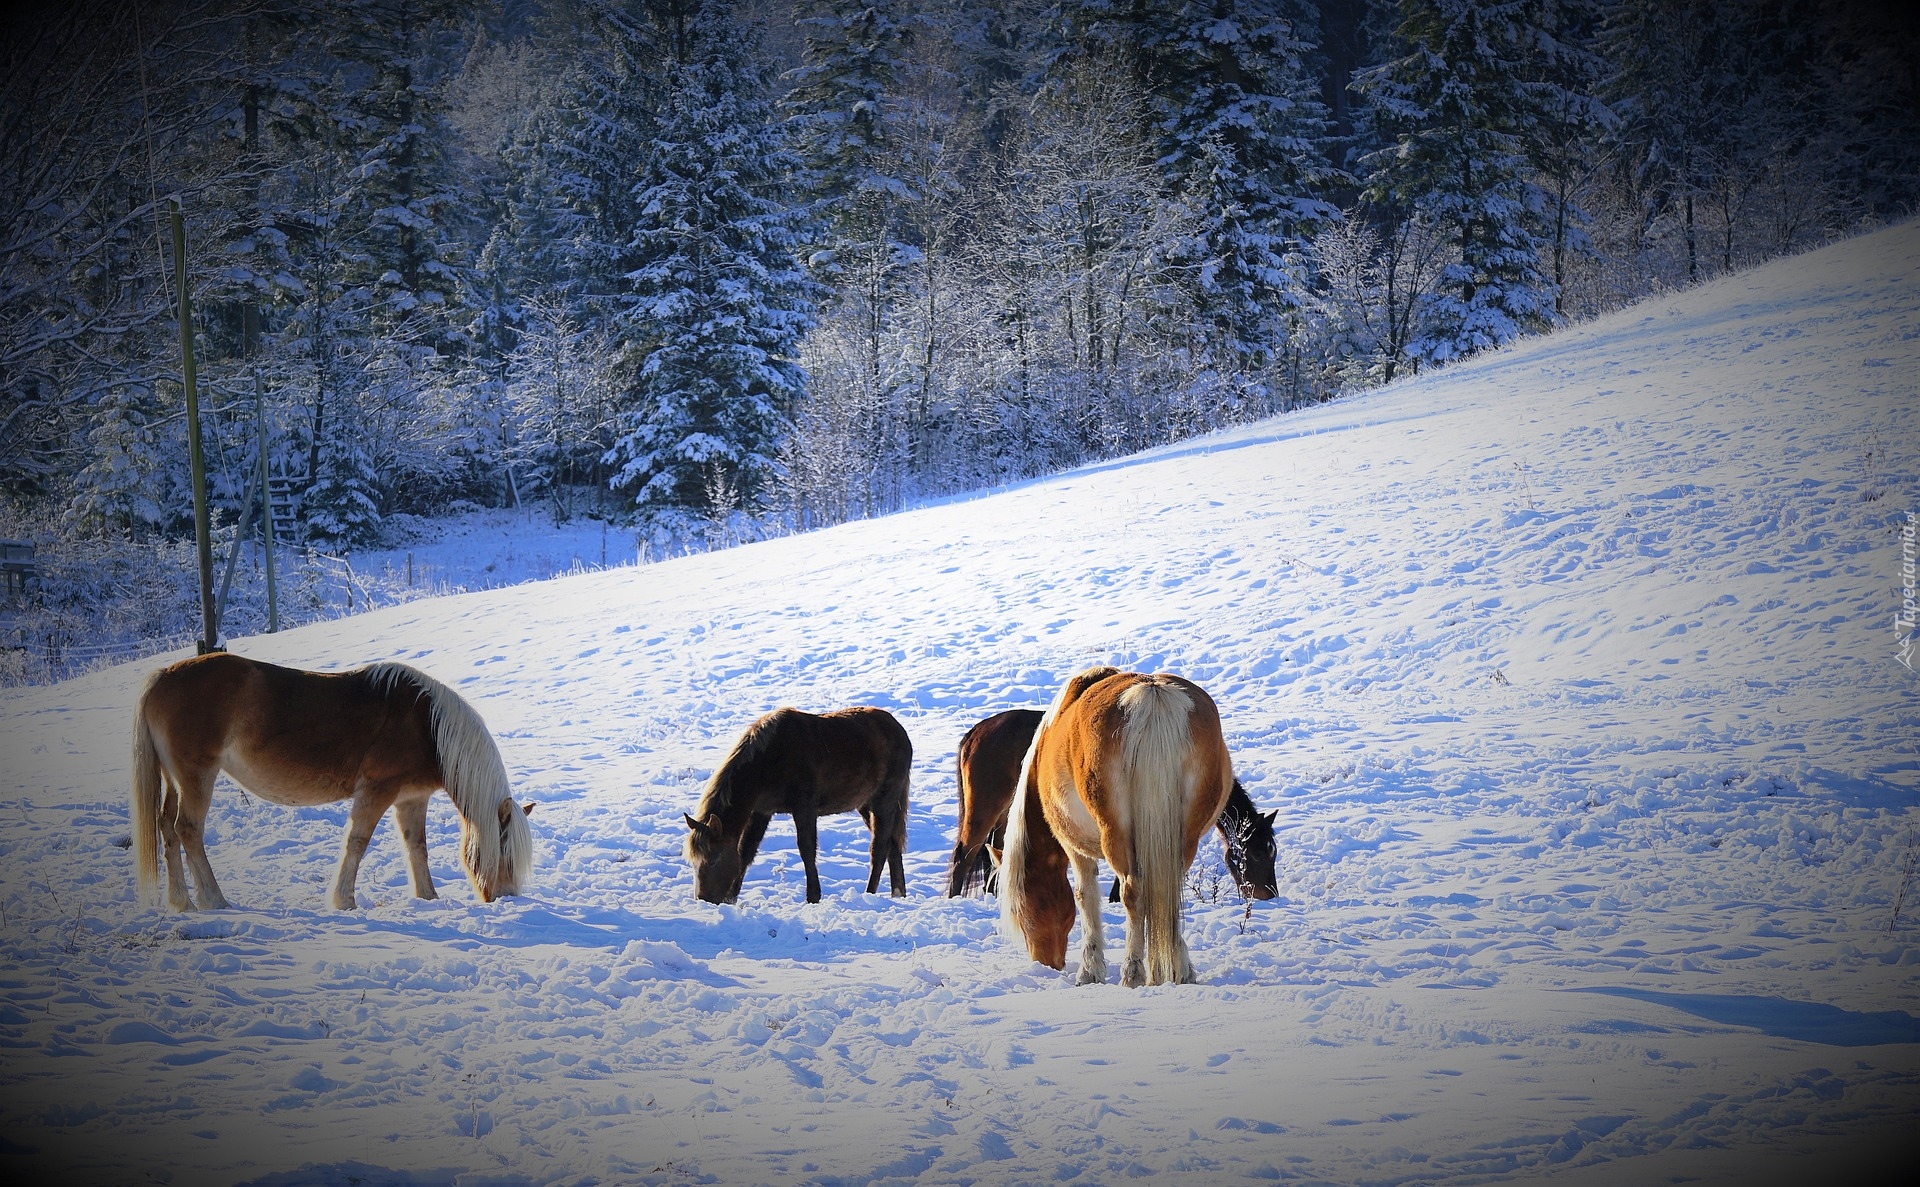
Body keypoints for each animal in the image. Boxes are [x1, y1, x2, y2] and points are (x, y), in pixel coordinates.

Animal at [129, 653, 533, 910]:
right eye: (505, 853)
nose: (507, 899)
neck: (427, 725)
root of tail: (161, 677)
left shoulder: (411, 799)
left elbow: (417, 848)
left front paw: (428, 898)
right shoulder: (377, 791)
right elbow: (357, 843)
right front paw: (344, 901)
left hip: (174, 780)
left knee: (167, 828)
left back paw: (182, 902)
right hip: (197, 777)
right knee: (188, 829)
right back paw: (214, 900)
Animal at [683, 702, 906, 906]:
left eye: (714, 859)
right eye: (693, 861)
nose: (703, 899)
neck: (770, 759)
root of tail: (898, 729)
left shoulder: (804, 807)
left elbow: (806, 849)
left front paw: (813, 897)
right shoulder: (761, 811)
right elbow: (746, 851)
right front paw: (732, 897)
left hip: (884, 800)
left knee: (879, 847)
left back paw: (870, 894)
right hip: (866, 805)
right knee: (892, 846)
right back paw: (898, 894)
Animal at [944, 702, 1274, 895]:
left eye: (1272, 852)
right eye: (1257, 854)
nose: (1269, 895)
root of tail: (975, 732)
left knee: (995, 850)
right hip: (984, 806)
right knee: (965, 855)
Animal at [998, 664, 1236, 979]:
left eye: (1024, 911)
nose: (1046, 963)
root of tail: (1151, 695)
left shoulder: (1074, 846)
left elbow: (1085, 896)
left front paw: (1089, 970)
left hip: (1116, 836)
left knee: (1133, 892)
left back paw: (1132, 971)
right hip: (1184, 837)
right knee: (1168, 889)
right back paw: (1178, 970)